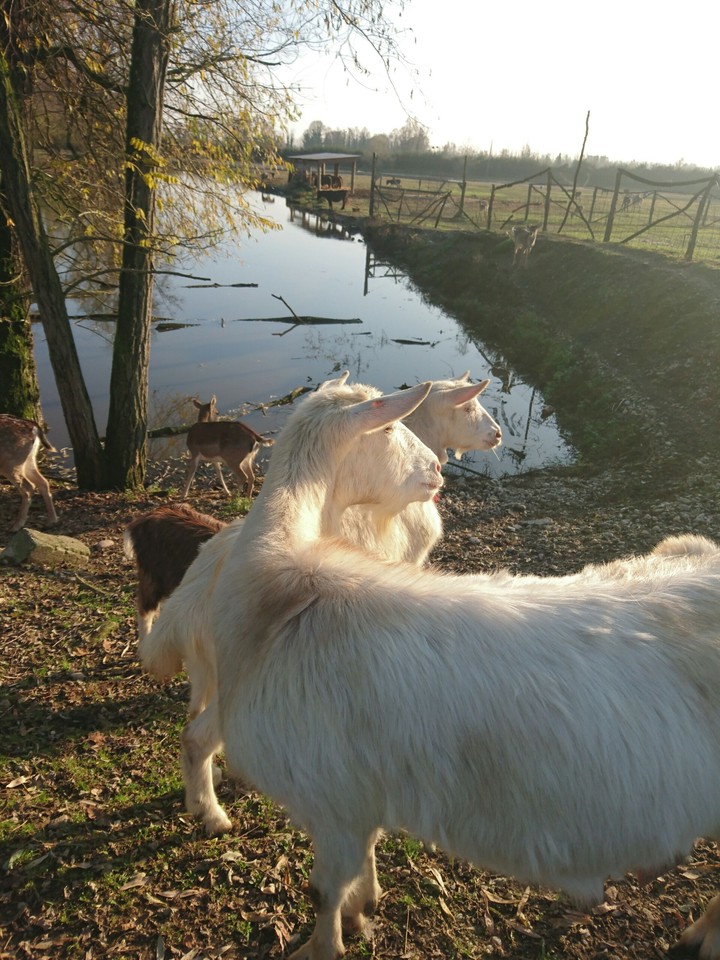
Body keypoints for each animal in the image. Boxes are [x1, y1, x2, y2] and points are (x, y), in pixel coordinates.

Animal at [150, 377, 720, 960]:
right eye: (389, 428)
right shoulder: (358, 794)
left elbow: (324, 890)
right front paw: (364, 906)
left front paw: (325, 942)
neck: (279, 582)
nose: (436, 470)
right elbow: (355, 868)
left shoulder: (333, 797)